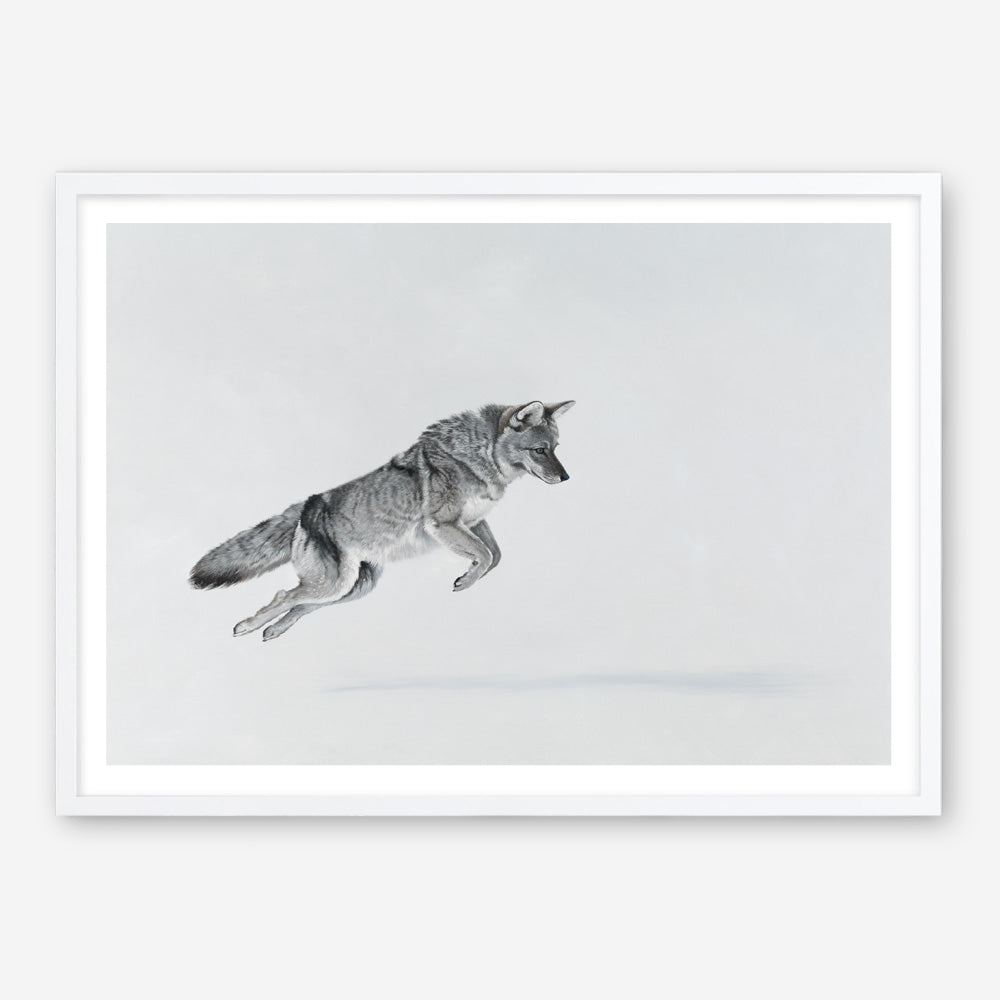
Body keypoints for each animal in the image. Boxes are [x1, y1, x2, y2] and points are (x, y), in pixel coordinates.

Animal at [189, 400, 575, 641]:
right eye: (540, 450)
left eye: (556, 449)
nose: (566, 478)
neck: (478, 456)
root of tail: (307, 505)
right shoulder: (445, 525)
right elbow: (485, 556)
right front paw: (465, 581)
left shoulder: (473, 523)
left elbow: (494, 557)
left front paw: (467, 576)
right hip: (332, 585)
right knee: (285, 595)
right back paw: (247, 626)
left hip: (351, 589)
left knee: (301, 604)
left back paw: (273, 631)